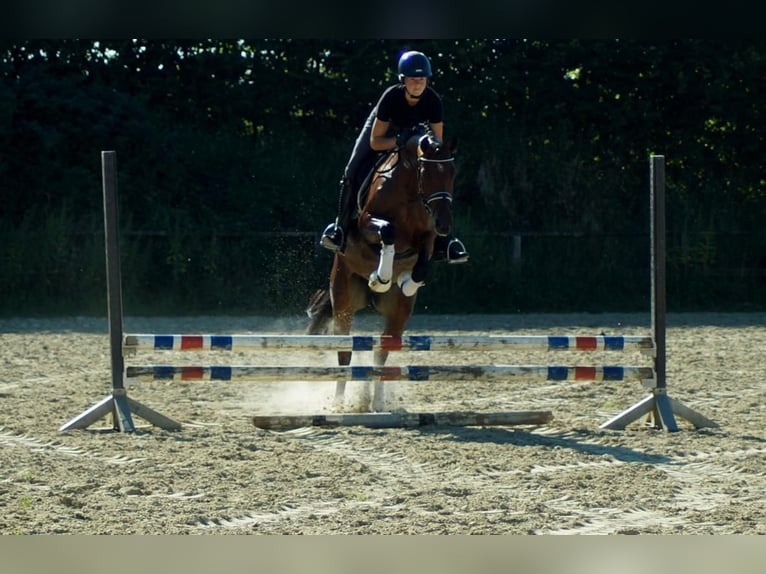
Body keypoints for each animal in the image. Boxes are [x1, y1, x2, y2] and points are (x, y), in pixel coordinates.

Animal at [308, 128, 462, 412]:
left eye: (452, 172)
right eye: (426, 173)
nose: (444, 224)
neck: (410, 192)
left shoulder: (427, 236)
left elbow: (422, 266)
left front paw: (406, 281)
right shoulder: (368, 222)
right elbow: (387, 231)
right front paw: (380, 277)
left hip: (397, 312)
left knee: (383, 350)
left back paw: (377, 403)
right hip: (344, 297)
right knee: (345, 352)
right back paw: (339, 403)